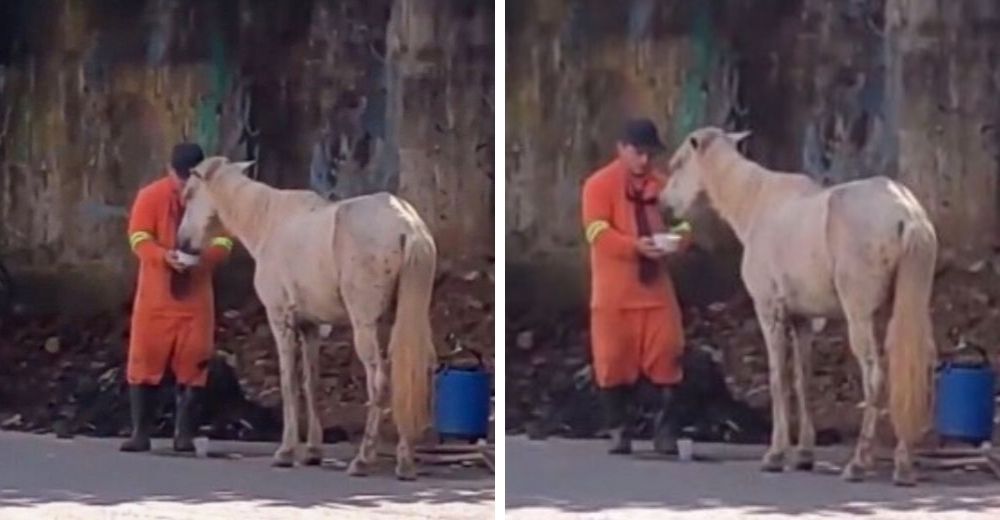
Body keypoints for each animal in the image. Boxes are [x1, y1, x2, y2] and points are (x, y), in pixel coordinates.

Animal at [175, 156, 438, 482]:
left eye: (189, 194)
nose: (182, 244)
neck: (269, 222)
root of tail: (408, 225)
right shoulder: (310, 326)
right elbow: (311, 382)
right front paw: (313, 451)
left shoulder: (280, 319)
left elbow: (289, 382)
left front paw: (286, 452)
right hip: (409, 317)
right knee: (416, 371)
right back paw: (405, 459)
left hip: (365, 325)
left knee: (378, 380)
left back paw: (363, 460)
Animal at [664, 128, 936, 486]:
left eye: (679, 163)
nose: (664, 204)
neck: (757, 202)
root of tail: (906, 212)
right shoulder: (803, 320)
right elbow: (802, 380)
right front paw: (805, 453)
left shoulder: (769, 312)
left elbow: (779, 379)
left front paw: (776, 454)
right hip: (902, 311)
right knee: (910, 370)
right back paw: (903, 465)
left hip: (860, 316)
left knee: (875, 376)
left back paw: (859, 463)